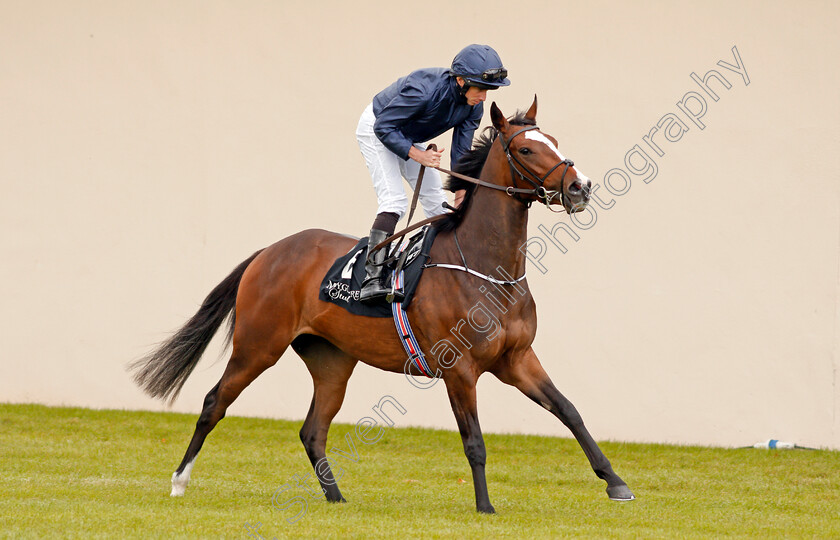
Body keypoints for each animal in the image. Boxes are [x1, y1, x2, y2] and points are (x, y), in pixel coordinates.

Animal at [130, 97, 636, 516]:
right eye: (527, 150)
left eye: (556, 142)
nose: (581, 186)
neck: (487, 269)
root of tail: (269, 251)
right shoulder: (460, 367)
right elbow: (474, 440)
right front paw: (485, 507)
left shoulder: (517, 359)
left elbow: (569, 410)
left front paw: (616, 482)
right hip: (258, 346)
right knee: (214, 402)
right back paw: (179, 481)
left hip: (331, 361)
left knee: (312, 430)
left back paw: (335, 497)